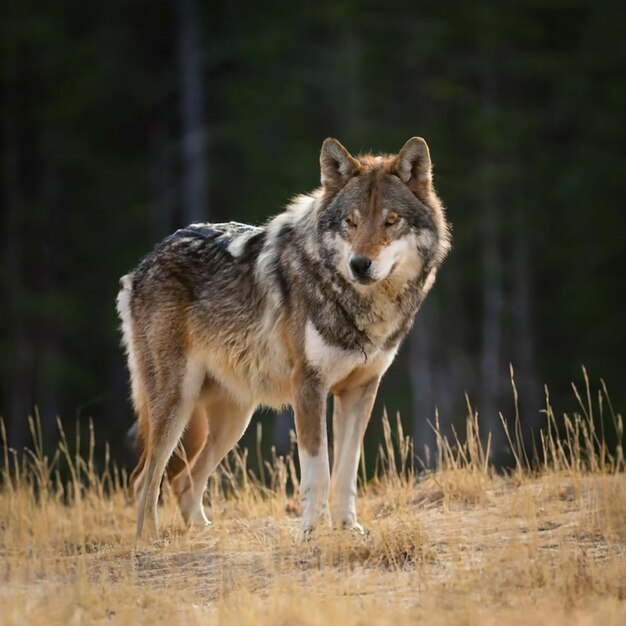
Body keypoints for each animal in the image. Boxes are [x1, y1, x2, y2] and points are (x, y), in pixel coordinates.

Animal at [117, 136, 448, 536]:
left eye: (391, 220)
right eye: (350, 222)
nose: (359, 265)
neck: (360, 305)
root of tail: (142, 266)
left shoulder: (360, 390)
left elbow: (346, 472)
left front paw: (346, 527)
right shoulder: (309, 386)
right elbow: (318, 472)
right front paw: (311, 533)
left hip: (233, 419)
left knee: (183, 480)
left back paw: (203, 532)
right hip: (176, 403)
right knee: (145, 479)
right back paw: (150, 540)